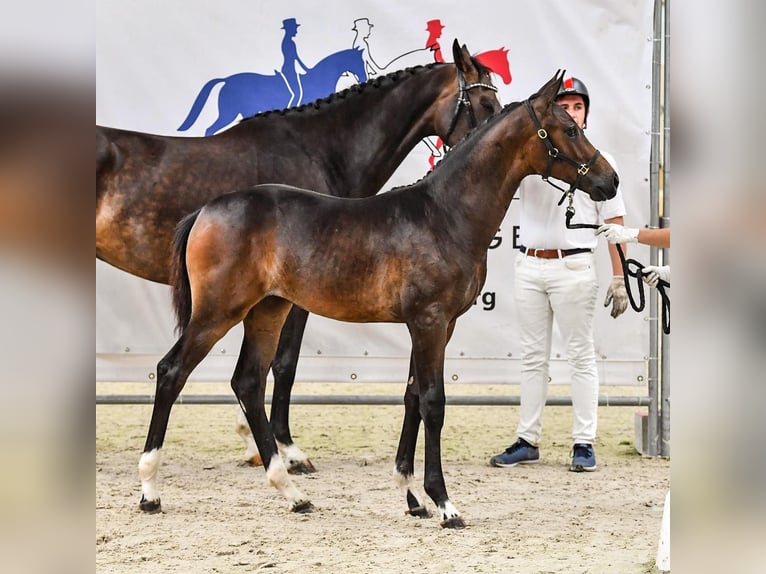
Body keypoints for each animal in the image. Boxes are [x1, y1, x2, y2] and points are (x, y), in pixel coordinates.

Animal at [136, 72, 616, 532]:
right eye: (570, 129)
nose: (609, 181)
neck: (444, 215)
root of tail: (205, 210)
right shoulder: (429, 322)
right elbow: (433, 402)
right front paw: (444, 504)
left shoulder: (439, 326)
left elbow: (411, 397)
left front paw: (411, 497)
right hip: (218, 312)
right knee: (172, 371)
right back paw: (150, 491)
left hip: (267, 311)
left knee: (248, 382)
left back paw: (292, 493)